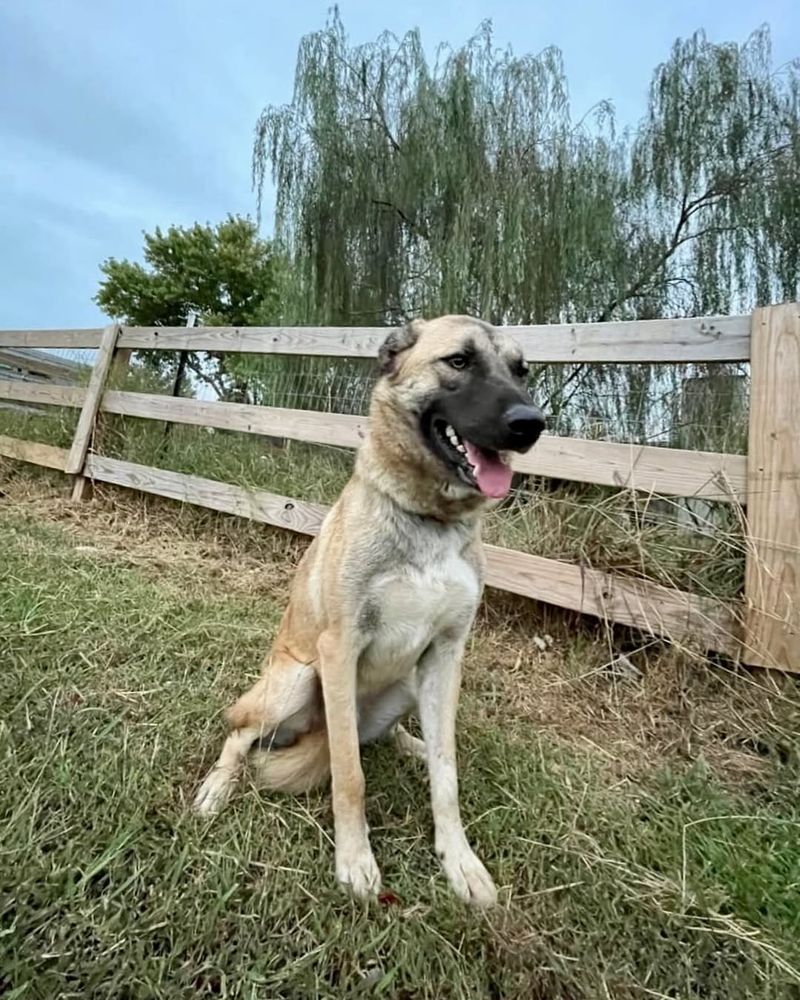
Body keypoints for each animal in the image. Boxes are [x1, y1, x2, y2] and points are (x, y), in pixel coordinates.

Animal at [193, 312, 544, 908]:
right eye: (459, 360)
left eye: (521, 370)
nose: (531, 424)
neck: (430, 519)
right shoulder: (339, 649)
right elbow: (349, 778)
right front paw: (355, 861)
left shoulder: (446, 654)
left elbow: (447, 776)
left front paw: (459, 860)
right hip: (297, 681)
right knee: (242, 735)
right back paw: (217, 787)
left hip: (409, 682)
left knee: (384, 737)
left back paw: (411, 744)